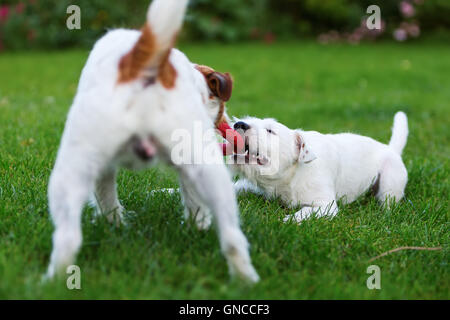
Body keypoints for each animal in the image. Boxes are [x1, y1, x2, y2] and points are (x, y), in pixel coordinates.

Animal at [45, 0, 258, 284]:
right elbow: (192, 199)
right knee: (233, 236)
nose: (228, 124)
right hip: (211, 169)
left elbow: (107, 197)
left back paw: (55, 281)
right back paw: (246, 279)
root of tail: (141, 63)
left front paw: (116, 224)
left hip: (69, 173)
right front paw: (197, 225)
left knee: (67, 238)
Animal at [230, 111, 410, 221]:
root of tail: (391, 149)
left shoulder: (326, 206)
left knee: (388, 201)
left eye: (270, 131)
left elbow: (306, 211)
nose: (239, 124)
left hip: (389, 183)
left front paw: (290, 220)